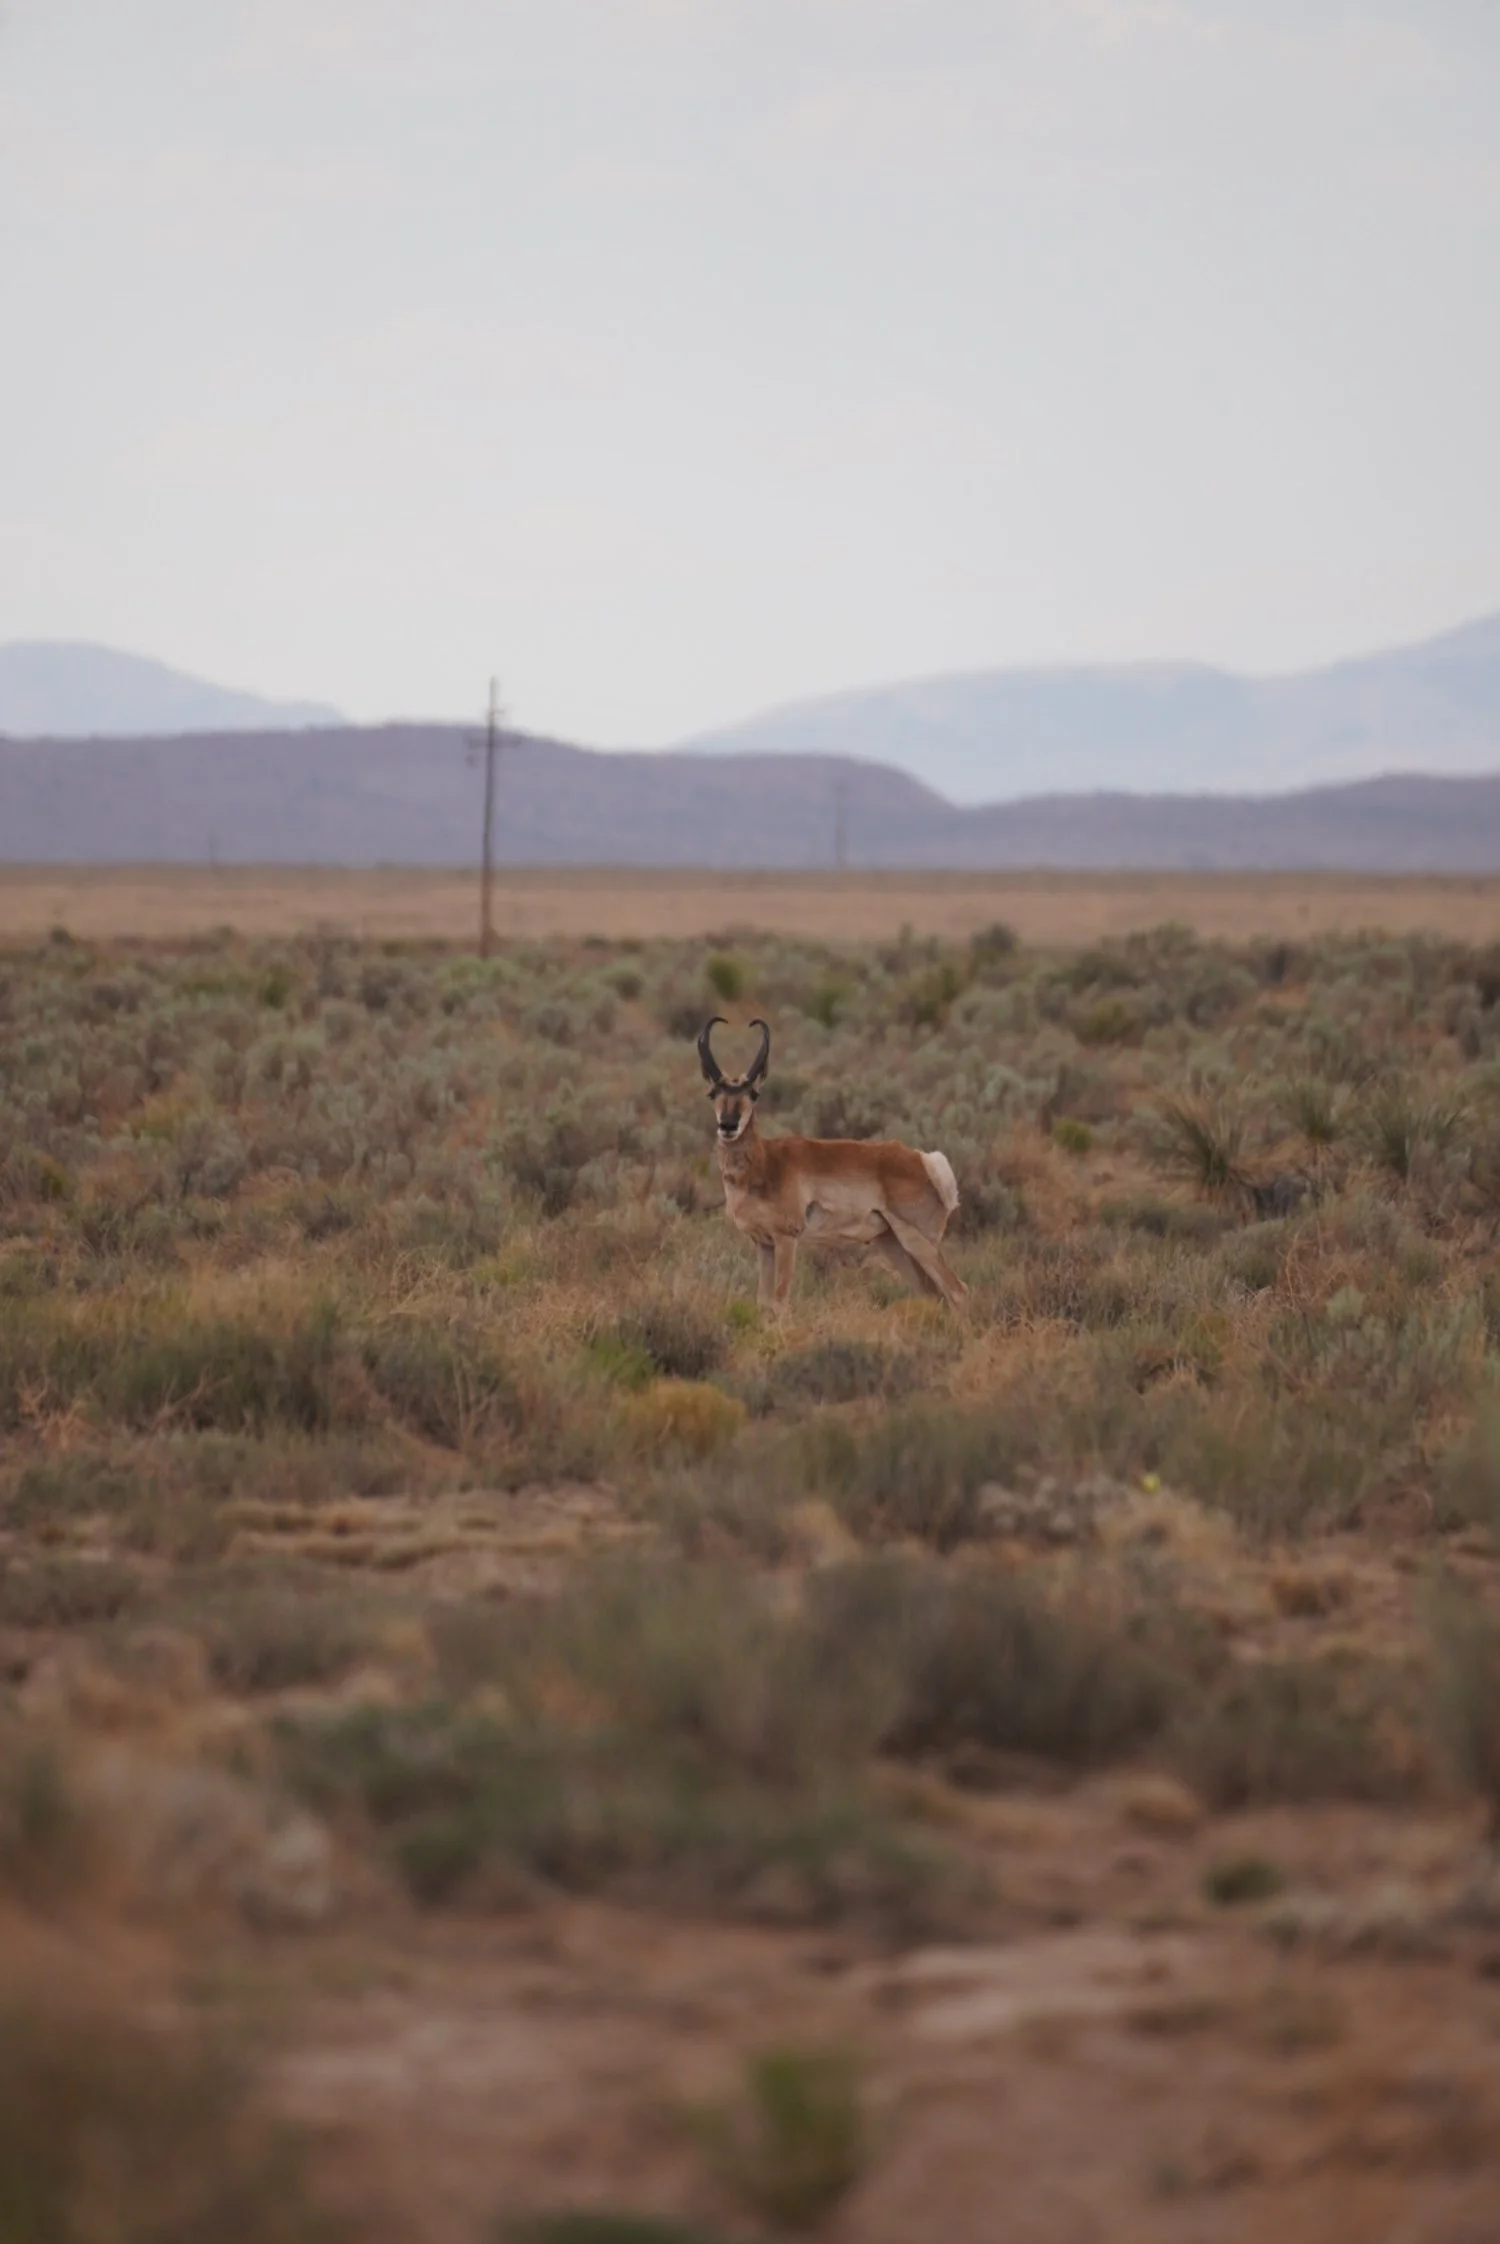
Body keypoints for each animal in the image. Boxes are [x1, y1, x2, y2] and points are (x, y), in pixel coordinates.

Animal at [697, 1016, 968, 1311]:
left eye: (754, 1093)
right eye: (712, 1093)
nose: (728, 1125)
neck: (764, 1161)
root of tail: (923, 1160)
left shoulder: (786, 1239)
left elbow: (780, 1302)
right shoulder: (763, 1244)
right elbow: (763, 1302)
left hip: (918, 1243)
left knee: (957, 1291)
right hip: (895, 1245)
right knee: (934, 1295)